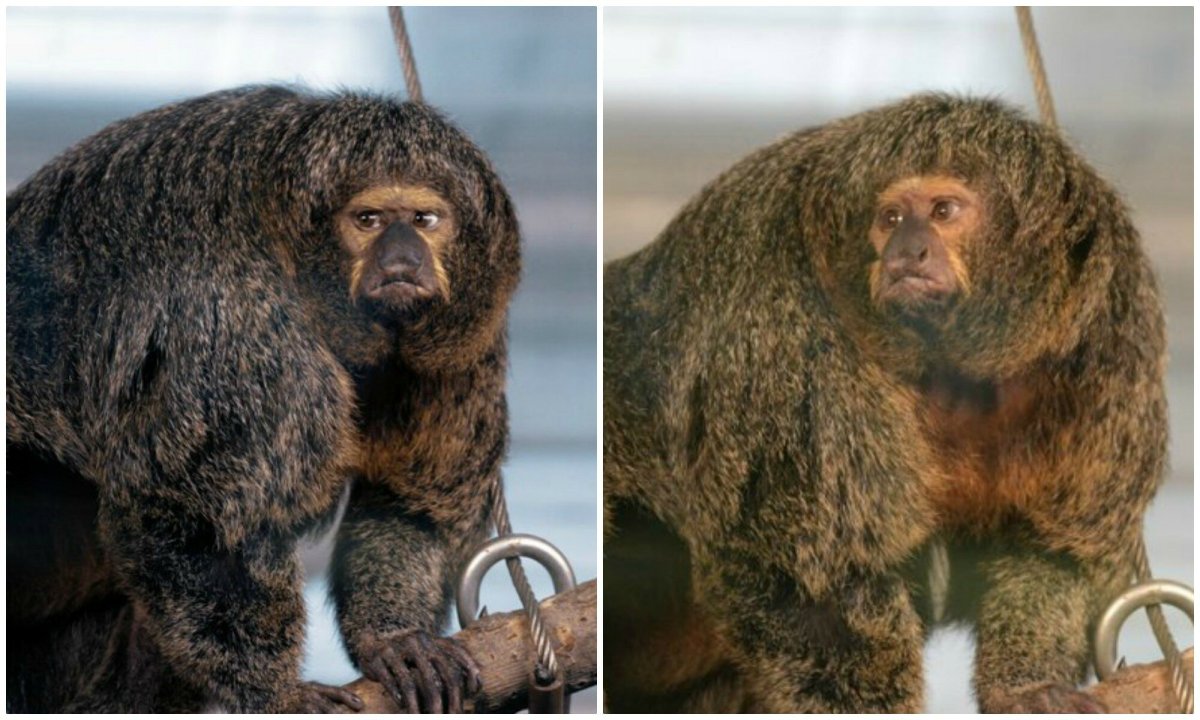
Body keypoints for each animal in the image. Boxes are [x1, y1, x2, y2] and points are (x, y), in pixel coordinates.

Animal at [7, 85, 521, 713]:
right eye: (368, 220)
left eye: (425, 220)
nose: (402, 261)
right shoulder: (236, 318)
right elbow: (199, 520)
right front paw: (275, 692)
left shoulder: (469, 344)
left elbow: (409, 502)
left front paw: (393, 639)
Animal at [603, 94, 1166, 713]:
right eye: (891, 218)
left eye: (943, 210)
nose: (906, 252)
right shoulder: (781, 323)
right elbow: (808, 583)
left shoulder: (1113, 337)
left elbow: (1054, 546)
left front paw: (1025, 687)